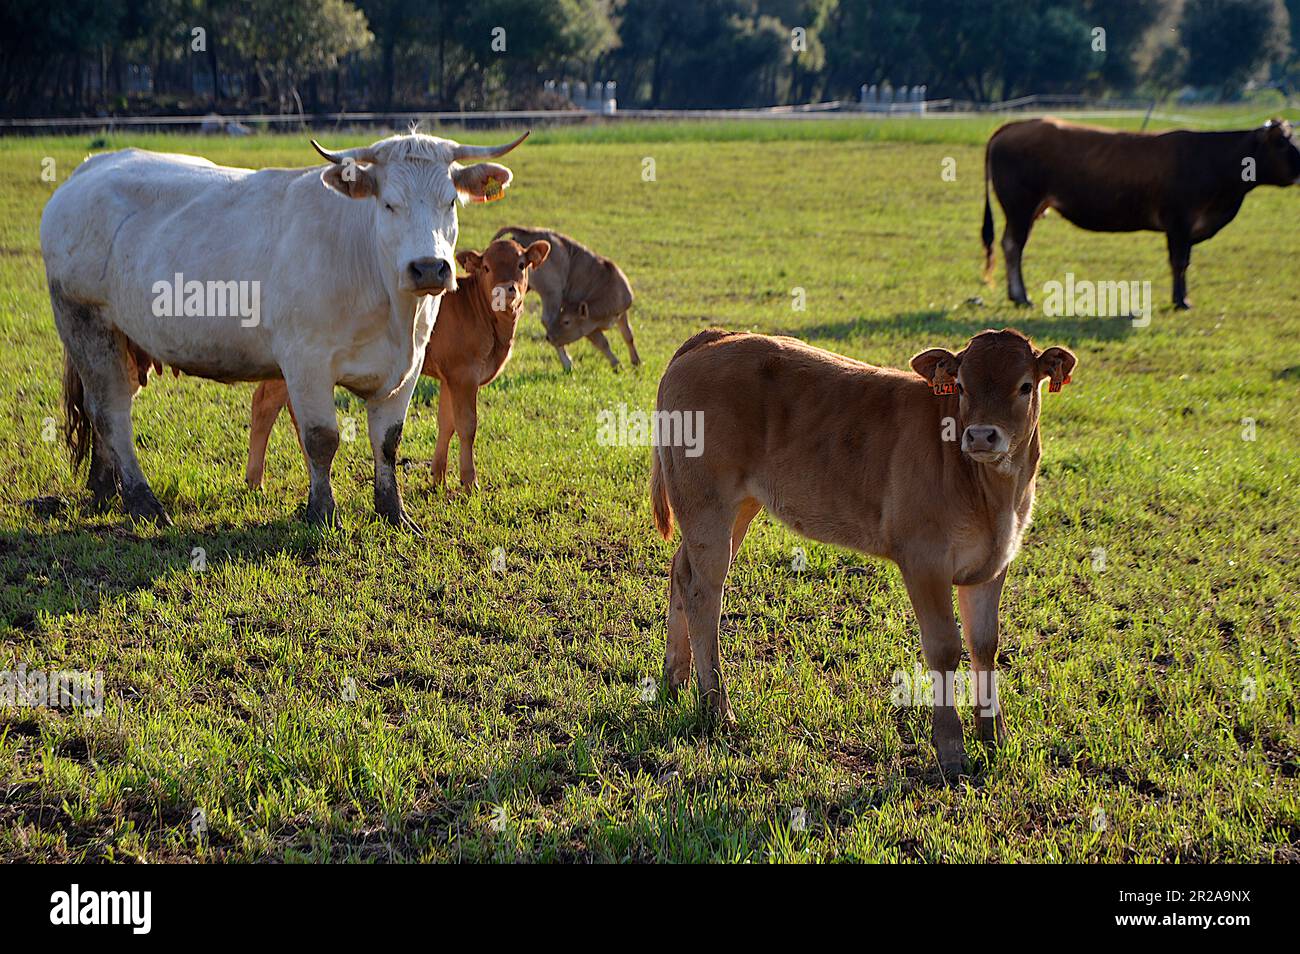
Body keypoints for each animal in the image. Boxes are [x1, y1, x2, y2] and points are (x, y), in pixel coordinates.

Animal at [245, 239, 546, 493]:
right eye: (486, 267)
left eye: (522, 264)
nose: (506, 289)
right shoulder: (464, 374)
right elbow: (467, 425)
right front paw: (469, 482)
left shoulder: (449, 376)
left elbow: (446, 423)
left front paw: (438, 478)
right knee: (264, 406)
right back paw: (255, 481)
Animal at [650, 328, 1076, 779]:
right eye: (961, 385)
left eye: (1026, 386)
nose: (980, 436)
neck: (994, 497)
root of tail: (716, 336)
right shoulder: (924, 559)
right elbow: (944, 647)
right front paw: (951, 749)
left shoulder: (993, 564)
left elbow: (985, 644)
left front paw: (994, 736)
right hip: (708, 505)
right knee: (704, 594)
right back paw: (718, 708)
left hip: (737, 508)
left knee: (682, 573)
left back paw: (675, 680)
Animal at [982, 115, 1300, 310]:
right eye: (1281, 142)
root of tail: (1014, 126)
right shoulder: (1179, 222)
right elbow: (1179, 262)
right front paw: (1180, 301)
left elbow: (1183, 262)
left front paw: (1181, 298)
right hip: (1020, 207)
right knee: (1012, 246)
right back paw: (1022, 296)